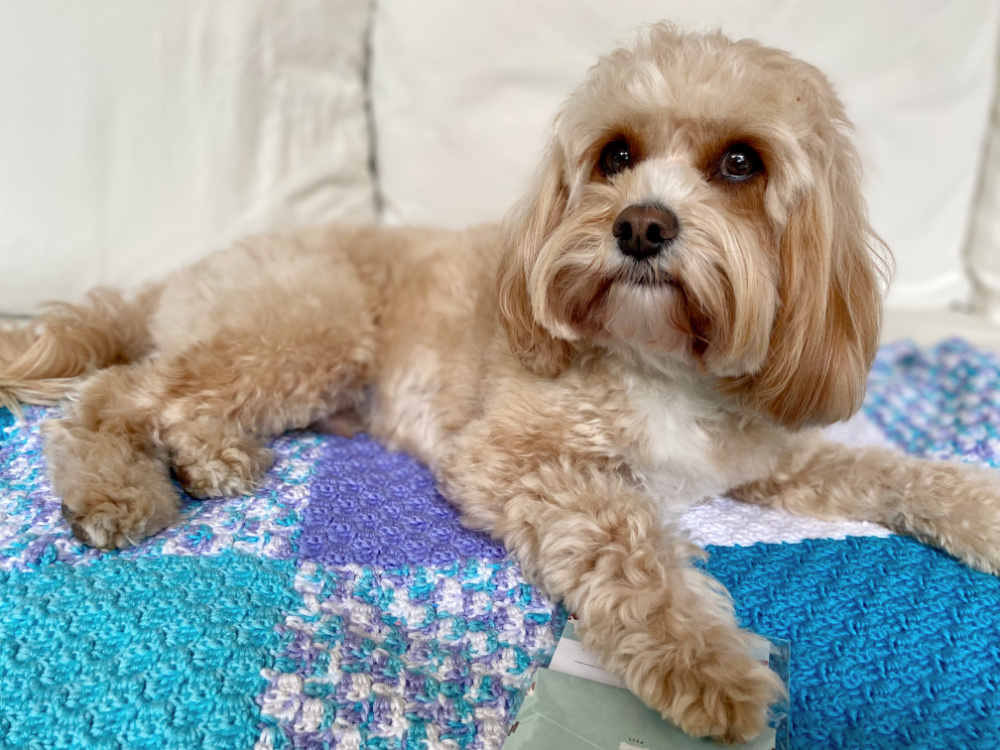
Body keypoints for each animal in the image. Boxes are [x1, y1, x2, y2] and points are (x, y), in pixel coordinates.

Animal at [1, 23, 1000, 748]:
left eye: (741, 163)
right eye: (614, 155)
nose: (641, 225)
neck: (660, 362)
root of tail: (178, 274)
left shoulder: (771, 458)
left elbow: (889, 470)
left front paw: (979, 509)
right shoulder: (517, 453)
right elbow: (627, 544)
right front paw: (706, 659)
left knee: (174, 396)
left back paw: (212, 459)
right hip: (310, 328)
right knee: (117, 393)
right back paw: (118, 491)